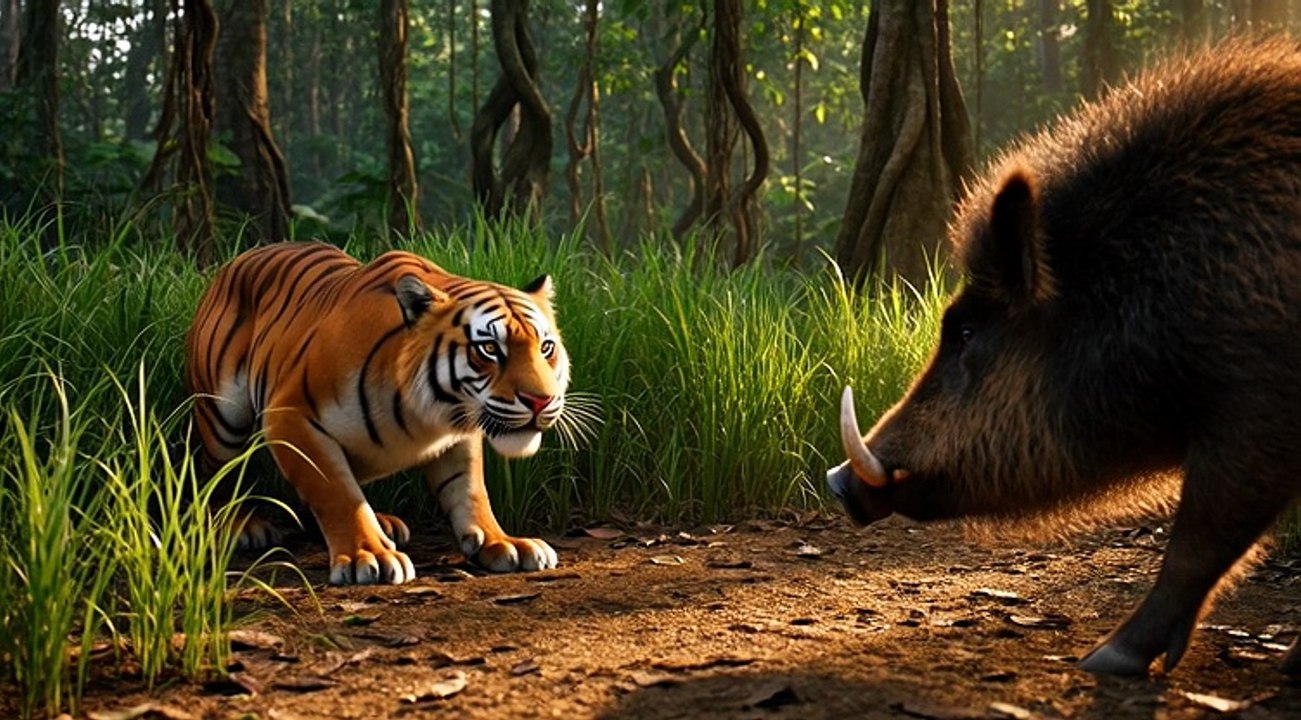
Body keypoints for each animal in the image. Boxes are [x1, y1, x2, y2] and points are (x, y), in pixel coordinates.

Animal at [184, 241, 569, 585]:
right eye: (488, 349)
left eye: (546, 347)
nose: (541, 400)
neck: (431, 413)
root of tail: (241, 258)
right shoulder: (290, 416)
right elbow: (337, 493)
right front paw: (367, 555)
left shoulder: (459, 434)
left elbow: (469, 490)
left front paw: (504, 542)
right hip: (224, 418)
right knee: (215, 472)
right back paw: (239, 526)